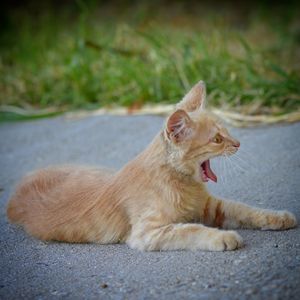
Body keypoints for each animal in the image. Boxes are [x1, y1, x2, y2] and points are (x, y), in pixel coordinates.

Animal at [5, 80, 296, 251]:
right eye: (217, 139)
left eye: (227, 131)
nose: (238, 143)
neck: (180, 183)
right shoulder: (148, 232)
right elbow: (190, 229)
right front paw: (222, 237)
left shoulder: (212, 207)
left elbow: (246, 209)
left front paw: (278, 217)